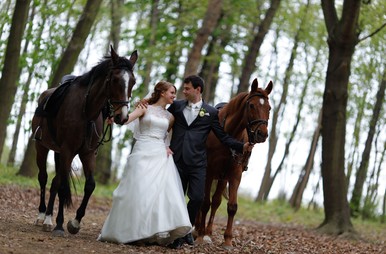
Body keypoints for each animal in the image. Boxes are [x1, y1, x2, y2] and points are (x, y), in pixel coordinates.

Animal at [32, 45, 137, 236]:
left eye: (132, 81)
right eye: (115, 79)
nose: (122, 116)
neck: (86, 111)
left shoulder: (87, 153)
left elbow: (90, 185)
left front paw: (75, 222)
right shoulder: (67, 150)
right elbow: (63, 187)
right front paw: (60, 224)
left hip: (59, 153)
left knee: (55, 182)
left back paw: (48, 219)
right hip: (41, 147)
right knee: (43, 178)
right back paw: (42, 215)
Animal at [196, 78, 272, 248]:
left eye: (269, 108)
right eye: (252, 105)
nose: (262, 134)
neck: (228, 135)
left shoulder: (235, 174)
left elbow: (231, 206)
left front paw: (228, 239)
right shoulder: (209, 171)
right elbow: (204, 203)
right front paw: (200, 236)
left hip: (223, 178)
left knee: (216, 201)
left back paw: (208, 232)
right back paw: (197, 229)